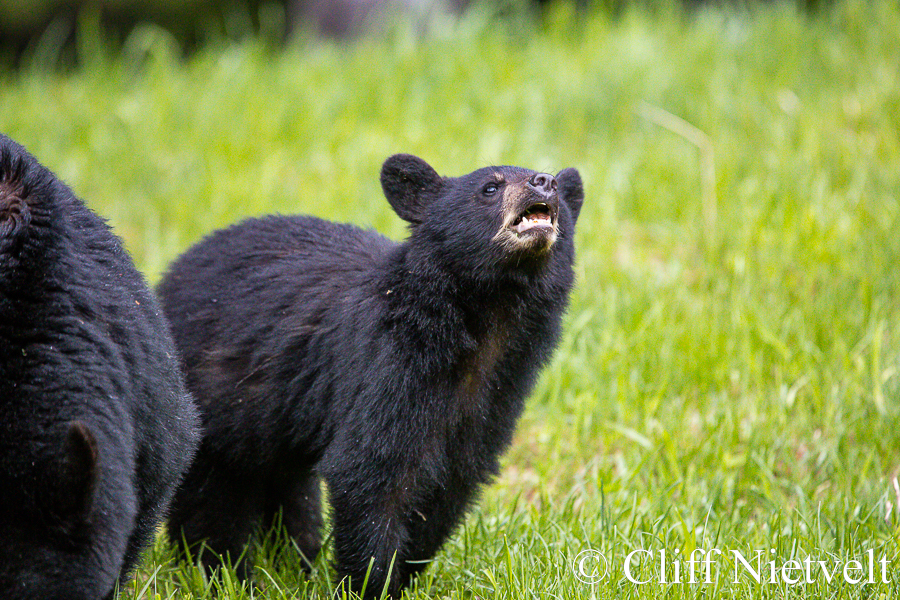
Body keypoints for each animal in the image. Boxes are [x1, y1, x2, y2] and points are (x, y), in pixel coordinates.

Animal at [160, 154, 584, 596]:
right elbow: (369, 472)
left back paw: (293, 561)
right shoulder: (384, 368)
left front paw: (406, 574)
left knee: (288, 486)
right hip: (208, 400)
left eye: (555, 188)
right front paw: (370, 584)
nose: (545, 182)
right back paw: (222, 572)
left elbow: (449, 487)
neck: (483, 327)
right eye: (490, 187)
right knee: (212, 497)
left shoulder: (496, 398)